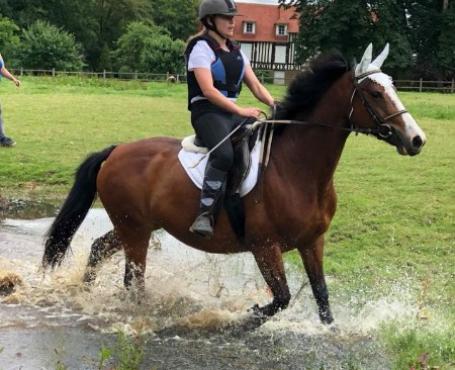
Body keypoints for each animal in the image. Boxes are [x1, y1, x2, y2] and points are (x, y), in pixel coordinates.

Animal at [41, 44, 428, 324]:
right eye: (375, 94)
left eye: (393, 86)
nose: (416, 139)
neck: (297, 170)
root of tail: (115, 151)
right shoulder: (265, 247)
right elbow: (281, 299)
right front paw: (245, 317)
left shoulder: (312, 242)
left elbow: (322, 300)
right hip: (135, 230)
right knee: (132, 280)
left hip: (136, 225)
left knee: (98, 249)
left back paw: (84, 295)